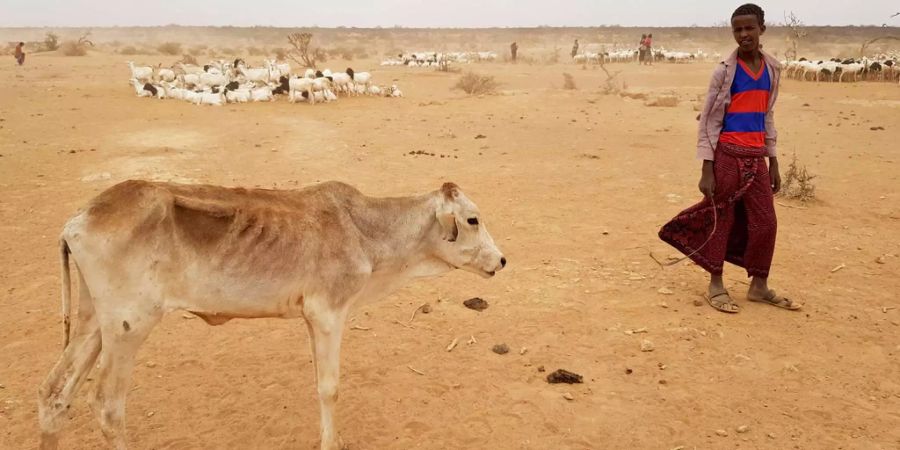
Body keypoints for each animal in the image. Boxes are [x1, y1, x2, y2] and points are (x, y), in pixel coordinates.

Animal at [38, 179, 502, 450]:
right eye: (472, 220)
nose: (500, 261)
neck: (365, 230)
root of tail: (78, 220)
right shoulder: (329, 313)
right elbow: (330, 389)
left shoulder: (313, 319)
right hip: (128, 327)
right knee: (107, 406)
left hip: (94, 322)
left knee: (54, 393)